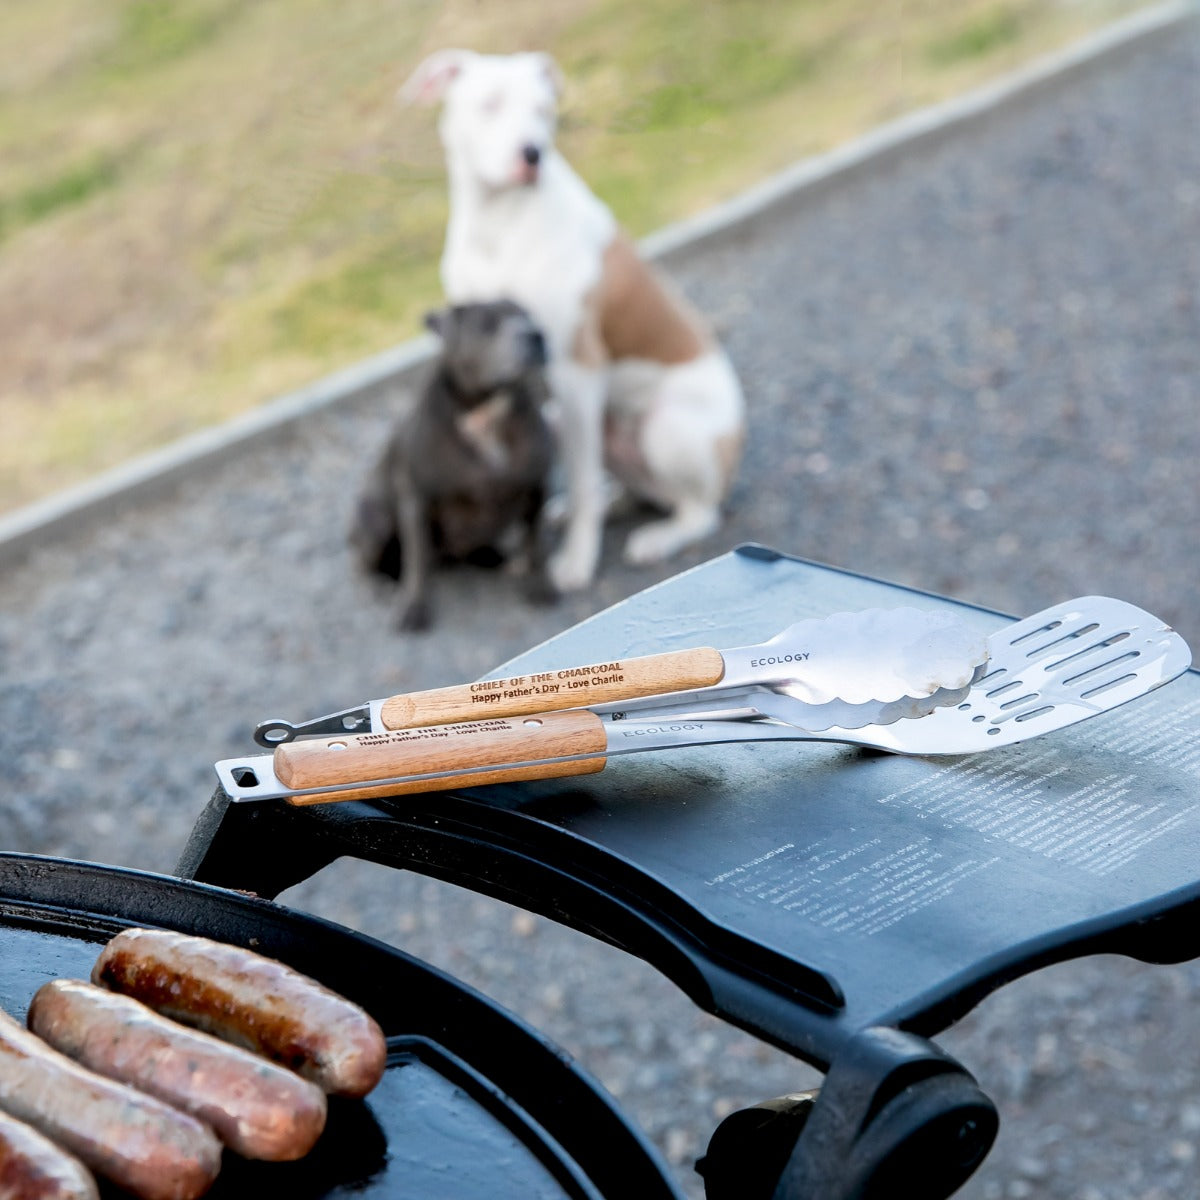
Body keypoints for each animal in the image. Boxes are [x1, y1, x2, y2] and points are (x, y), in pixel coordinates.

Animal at [348, 302, 552, 628]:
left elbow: (534, 543)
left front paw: (539, 585)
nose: (535, 335)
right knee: (370, 563)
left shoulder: (537, 488)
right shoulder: (416, 500)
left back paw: (490, 557)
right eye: (486, 324)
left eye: (527, 315)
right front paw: (414, 607)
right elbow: (417, 559)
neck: (486, 415)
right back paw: (384, 585)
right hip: (374, 520)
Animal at [398, 49, 744, 592]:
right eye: (490, 104)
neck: (498, 221)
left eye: (544, 109)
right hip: (569, 420)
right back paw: (610, 502)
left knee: (696, 509)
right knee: (631, 484)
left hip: (667, 429)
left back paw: (658, 536)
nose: (532, 153)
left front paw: (576, 561)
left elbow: (579, 478)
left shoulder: (574, 369)